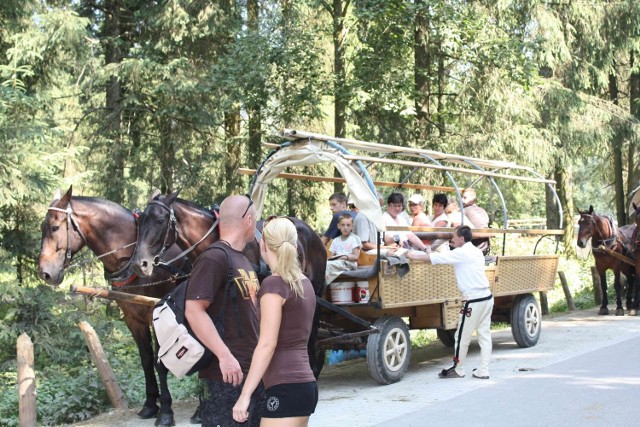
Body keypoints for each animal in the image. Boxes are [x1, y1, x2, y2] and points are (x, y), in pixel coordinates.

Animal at [38, 187, 190, 427]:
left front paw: (166, 411)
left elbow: (160, 362)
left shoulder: (157, 314)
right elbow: (146, 360)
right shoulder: (132, 318)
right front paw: (150, 404)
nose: (45, 273)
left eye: (54, 227)